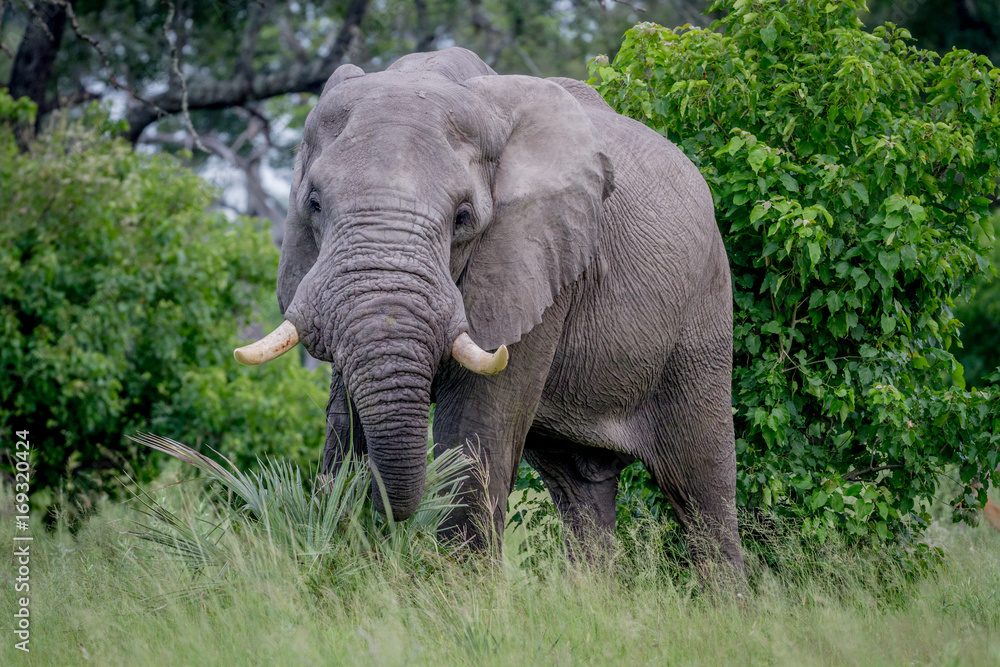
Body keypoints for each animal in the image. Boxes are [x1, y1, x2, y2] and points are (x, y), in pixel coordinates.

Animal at [235, 47, 744, 579]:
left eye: (464, 218)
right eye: (313, 204)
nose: (390, 518)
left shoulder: (534, 260)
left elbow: (475, 428)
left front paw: (459, 588)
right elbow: (344, 422)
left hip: (703, 312)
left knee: (700, 487)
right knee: (581, 492)